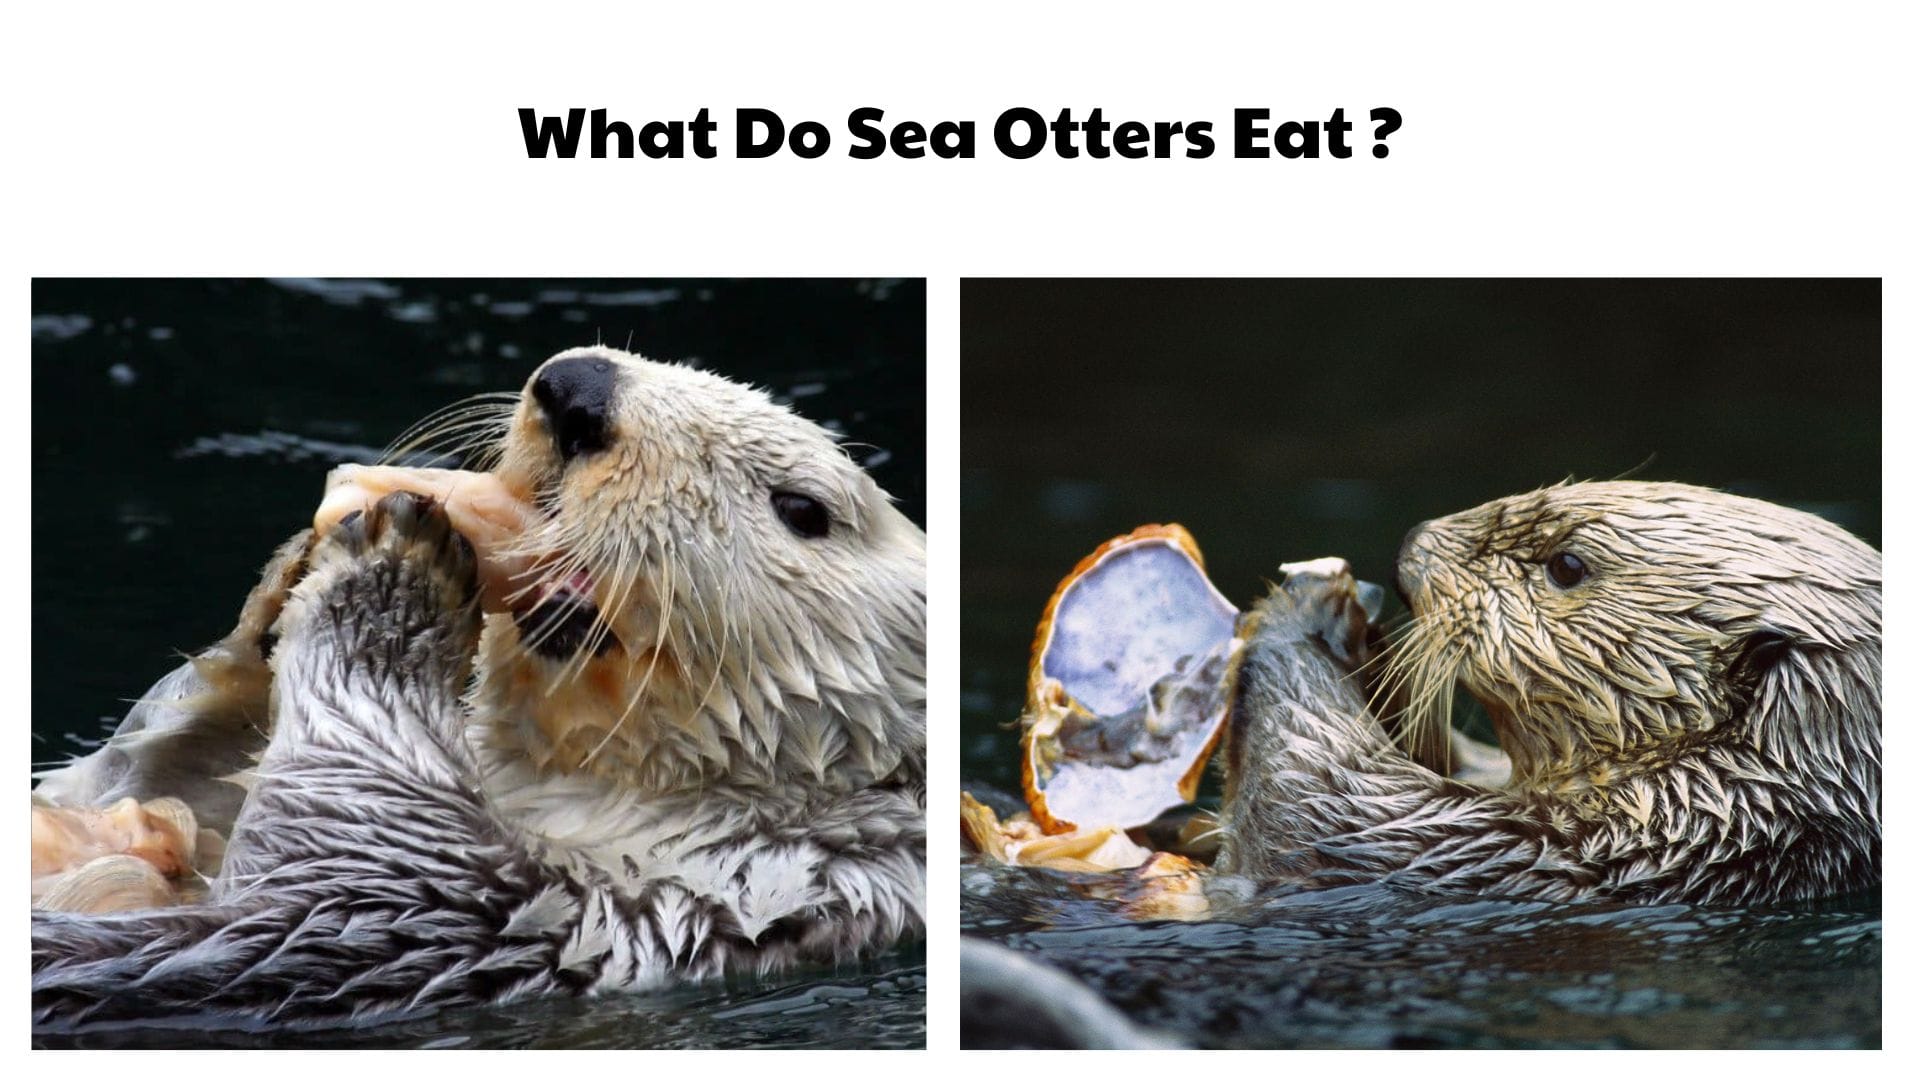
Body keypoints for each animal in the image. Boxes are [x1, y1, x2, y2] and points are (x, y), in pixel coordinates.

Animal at [32, 348, 927, 1031]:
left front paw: (395, 570)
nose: (577, 390)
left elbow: (351, 812)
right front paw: (286, 579)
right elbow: (144, 778)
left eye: (802, 507)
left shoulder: (519, 910)